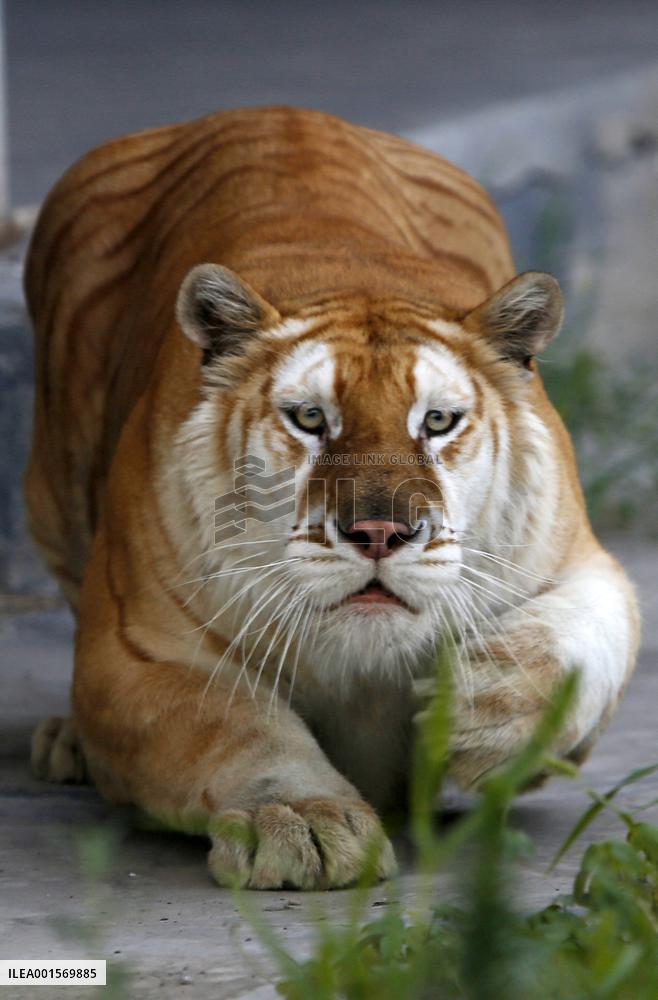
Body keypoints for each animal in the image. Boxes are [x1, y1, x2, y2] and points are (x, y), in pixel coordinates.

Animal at [25, 105, 640, 890]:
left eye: (438, 421)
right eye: (311, 419)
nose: (379, 533)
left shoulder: (584, 563)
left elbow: (576, 643)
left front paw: (472, 718)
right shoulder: (138, 651)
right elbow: (233, 730)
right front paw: (304, 826)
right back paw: (65, 742)